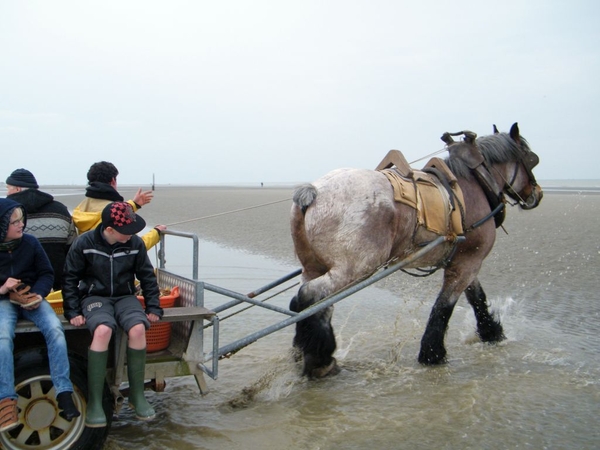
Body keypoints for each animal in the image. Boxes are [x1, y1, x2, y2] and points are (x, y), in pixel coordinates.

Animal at [290, 122, 544, 376]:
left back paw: (306, 351)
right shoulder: (468, 262)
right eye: (531, 159)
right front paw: (433, 354)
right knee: (310, 296)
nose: (538, 194)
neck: (475, 184)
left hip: (313, 266)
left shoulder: (464, 259)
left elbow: (477, 298)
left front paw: (492, 333)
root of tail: (314, 191)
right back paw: (321, 361)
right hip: (355, 269)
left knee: (311, 304)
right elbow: (444, 306)